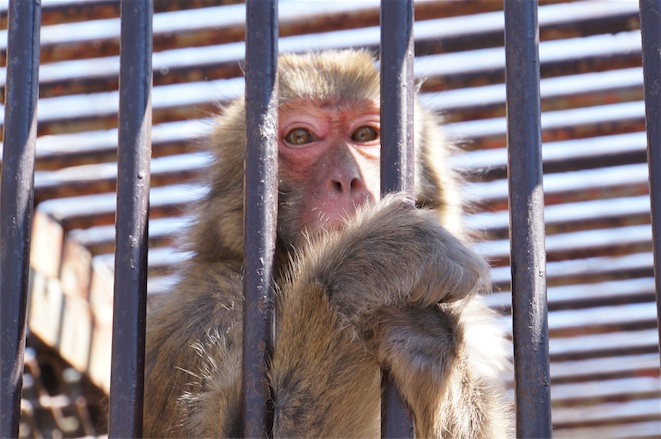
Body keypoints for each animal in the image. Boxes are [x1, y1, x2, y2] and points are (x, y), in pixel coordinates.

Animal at [142, 50, 513, 438]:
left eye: (365, 134)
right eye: (300, 137)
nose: (346, 179)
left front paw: (428, 343)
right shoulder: (207, 309)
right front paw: (369, 268)